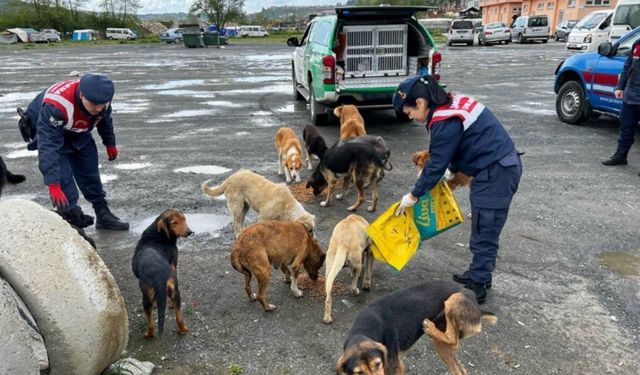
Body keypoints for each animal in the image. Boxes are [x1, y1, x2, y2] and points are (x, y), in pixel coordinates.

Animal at [338, 282, 498, 375]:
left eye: (377, 364)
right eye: (359, 373)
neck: (364, 329)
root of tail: (478, 307)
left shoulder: (396, 367)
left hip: (453, 299)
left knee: (453, 341)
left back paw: (429, 327)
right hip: (441, 343)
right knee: (459, 370)